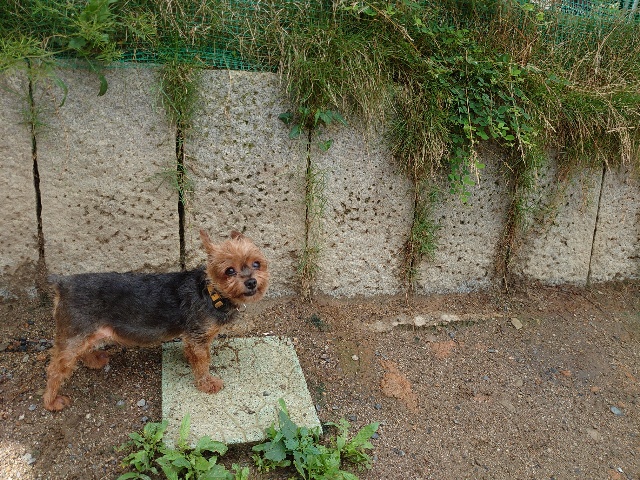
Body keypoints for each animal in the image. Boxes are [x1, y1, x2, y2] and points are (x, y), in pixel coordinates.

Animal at [43, 229, 269, 411]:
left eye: (256, 264)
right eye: (229, 270)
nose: (251, 282)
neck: (211, 291)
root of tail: (62, 283)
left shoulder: (191, 335)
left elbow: (192, 353)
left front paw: (189, 359)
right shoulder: (199, 337)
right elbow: (203, 363)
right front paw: (207, 384)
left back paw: (94, 360)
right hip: (75, 333)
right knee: (55, 370)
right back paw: (52, 402)